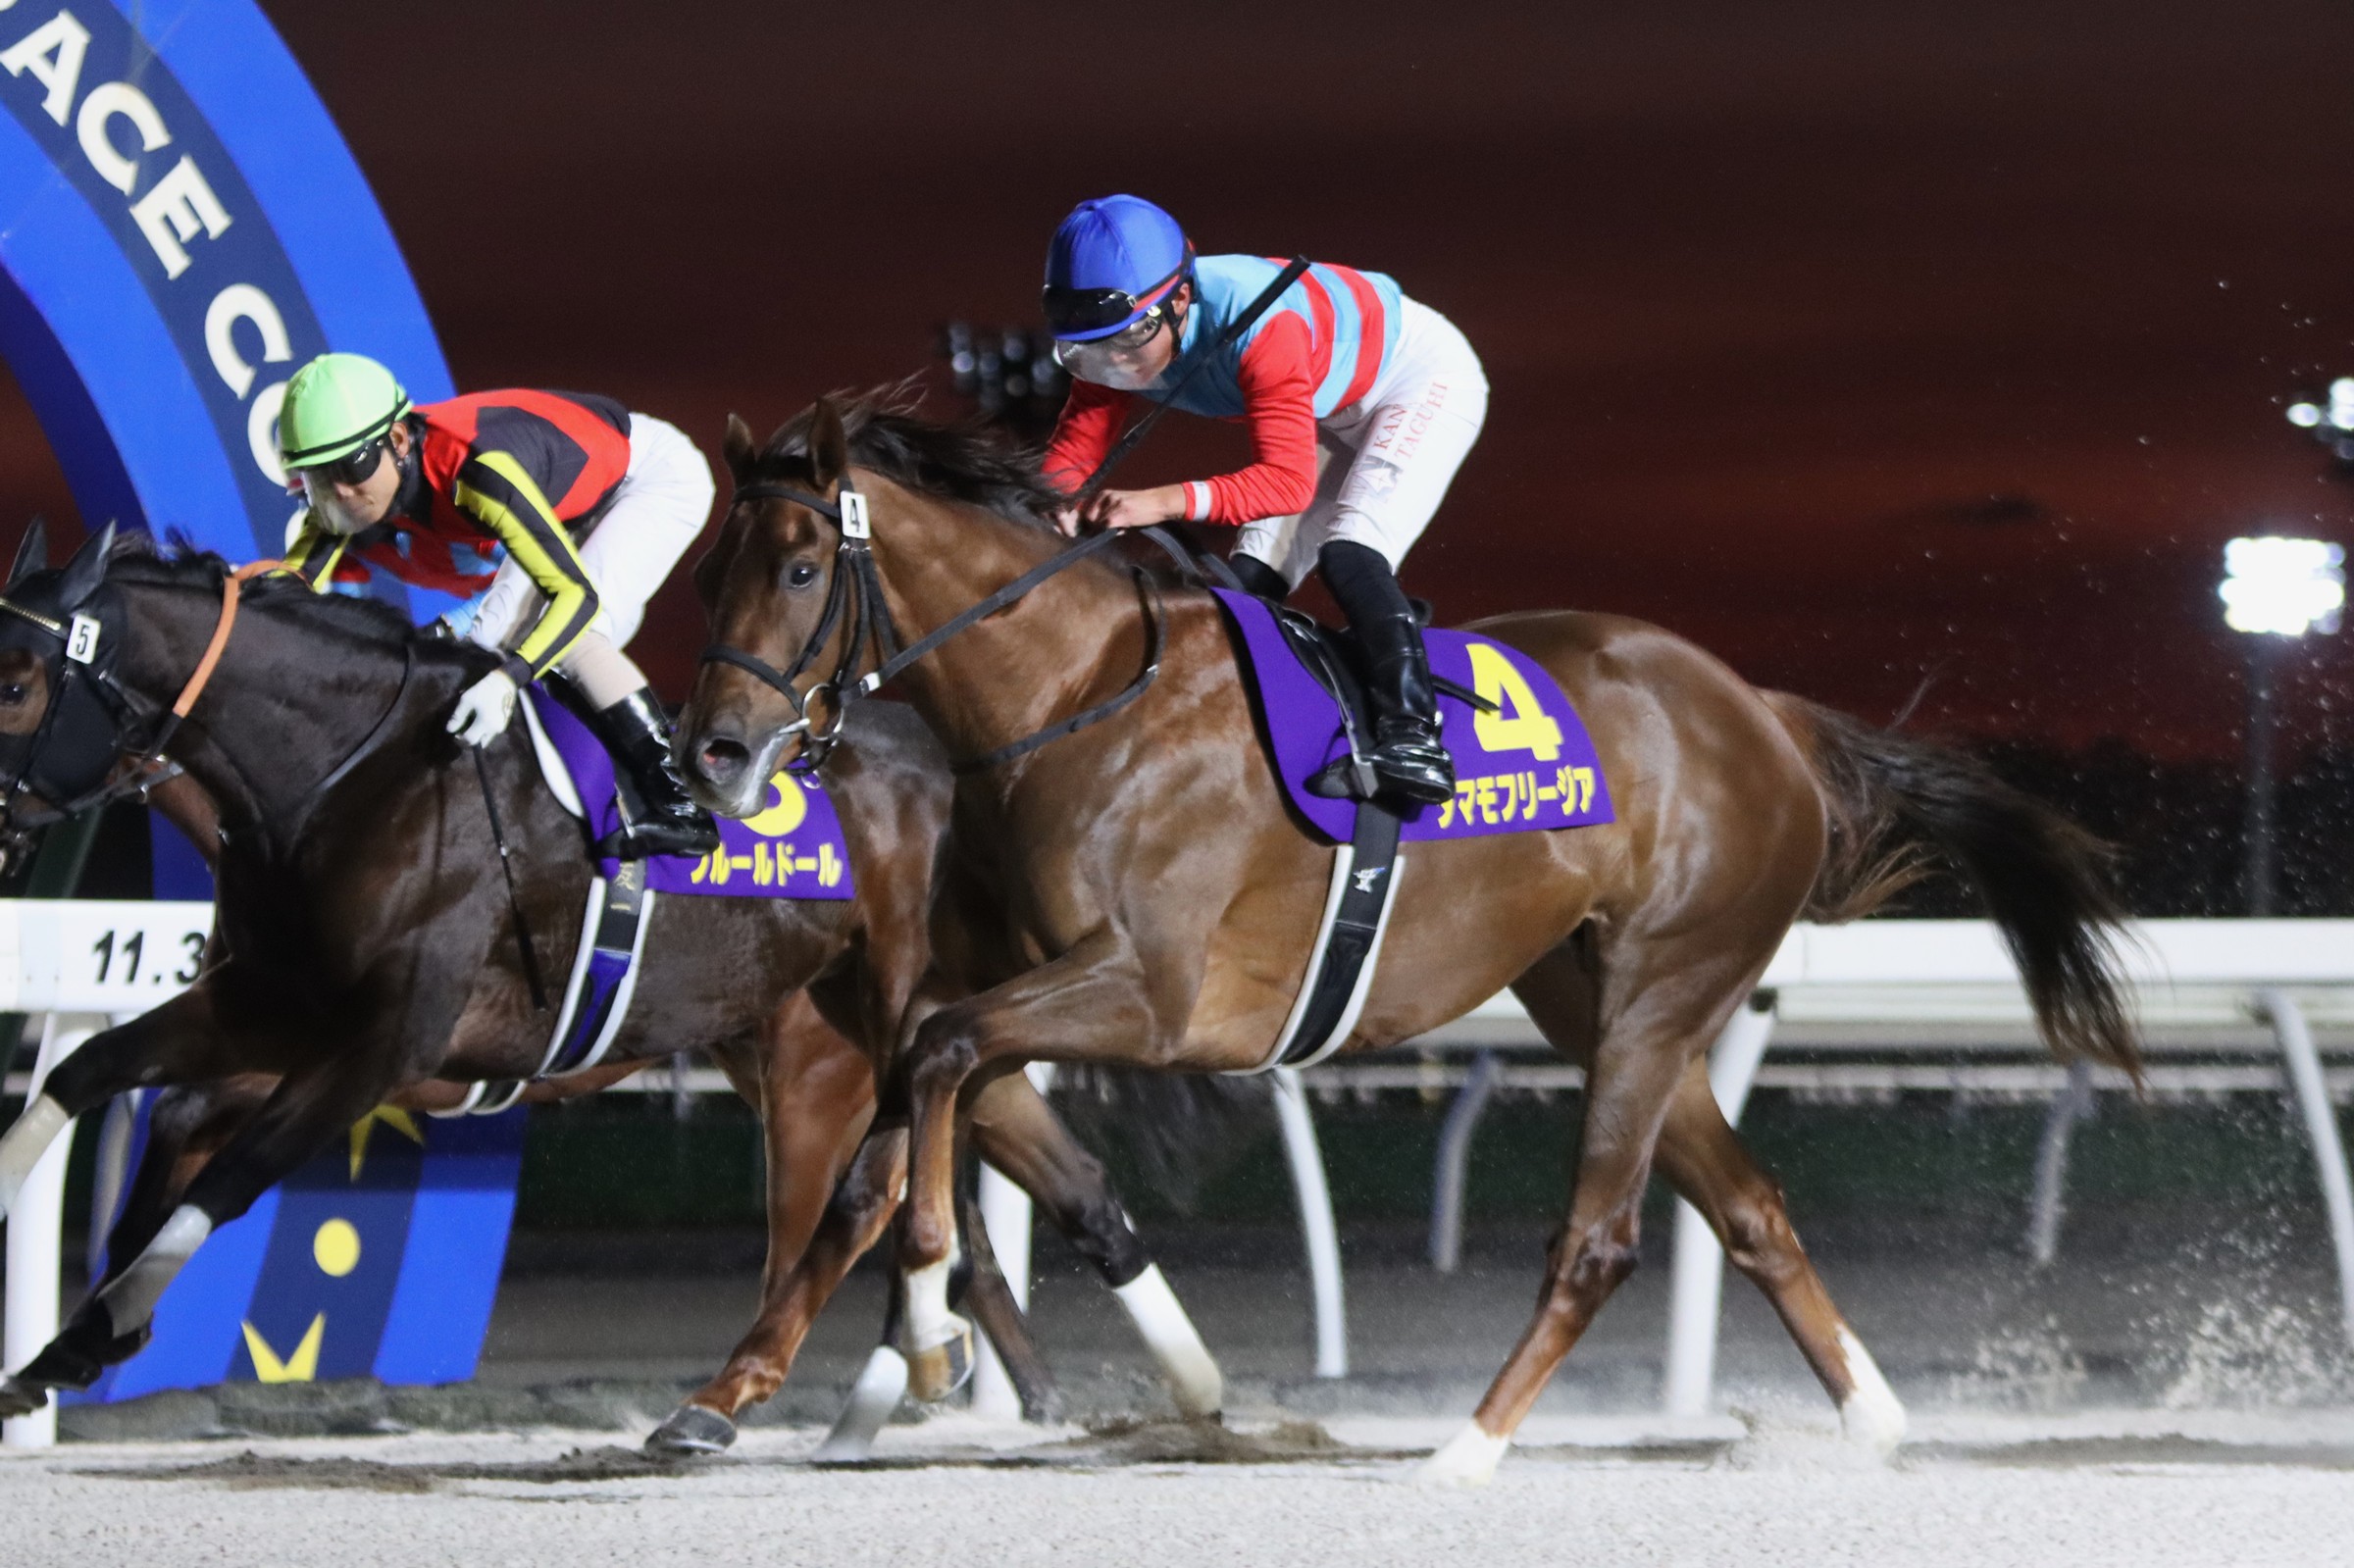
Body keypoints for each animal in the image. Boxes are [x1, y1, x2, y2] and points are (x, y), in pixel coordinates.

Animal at [0, 524, 1223, 1452]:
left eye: (15, 683)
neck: (348, 774)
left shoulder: (381, 1048)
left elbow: (224, 1175)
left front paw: (100, 1327)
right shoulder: (268, 1004)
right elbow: (92, 1074)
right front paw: (68, 1340)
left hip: (841, 1051)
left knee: (860, 1202)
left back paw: (804, 1389)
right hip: (869, 1034)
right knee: (1048, 1176)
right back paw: (1151, 1385)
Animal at [677, 391, 2138, 1486]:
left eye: (800, 568)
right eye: (712, 574)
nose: (715, 753)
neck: (1072, 699)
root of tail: (1759, 710)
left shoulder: (1149, 994)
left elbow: (936, 1064)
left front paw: (926, 1338)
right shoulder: (987, 979)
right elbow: (886, 1144)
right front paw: (736, 1390)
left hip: (1665, 985)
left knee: (1602, 1238)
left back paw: (1468, 1448)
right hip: (1593, 1000)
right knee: (1752, 1211)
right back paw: (1874, 1421)